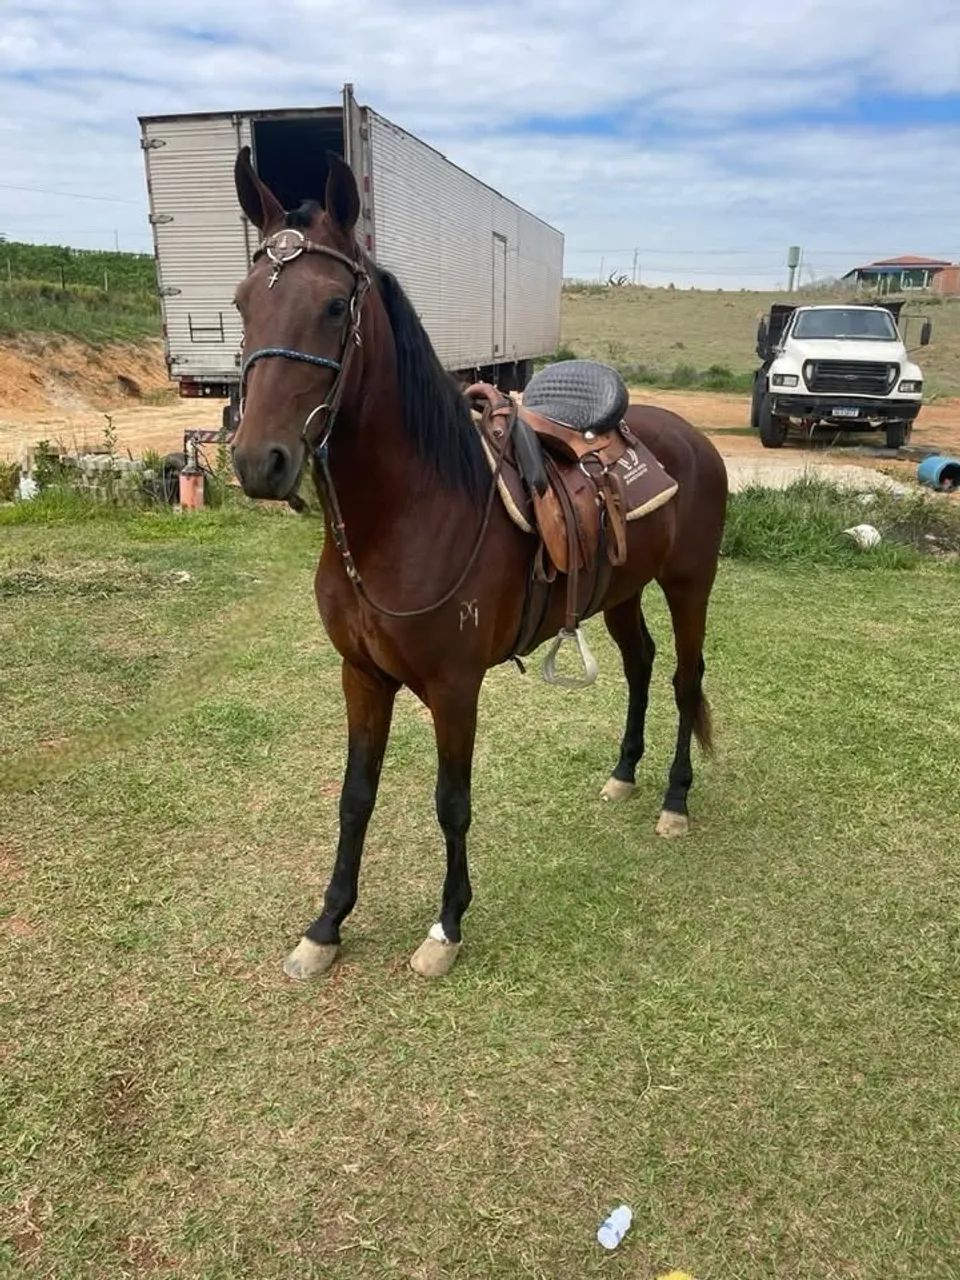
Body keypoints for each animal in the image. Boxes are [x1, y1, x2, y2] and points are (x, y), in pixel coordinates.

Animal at [229, 149, 728, 979]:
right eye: (240, 304)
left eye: (333, 306)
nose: (257, 461)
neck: (404, 517)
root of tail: (691, 437)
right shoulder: (361, 677)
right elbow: (355, 797)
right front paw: (326, 925)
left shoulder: (454, 687)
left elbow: (450, 803)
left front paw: (447, 927)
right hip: (622, 593)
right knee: (642, 665)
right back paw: (624, 774)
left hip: (690, 586)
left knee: (686, 681)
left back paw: (674, 802)